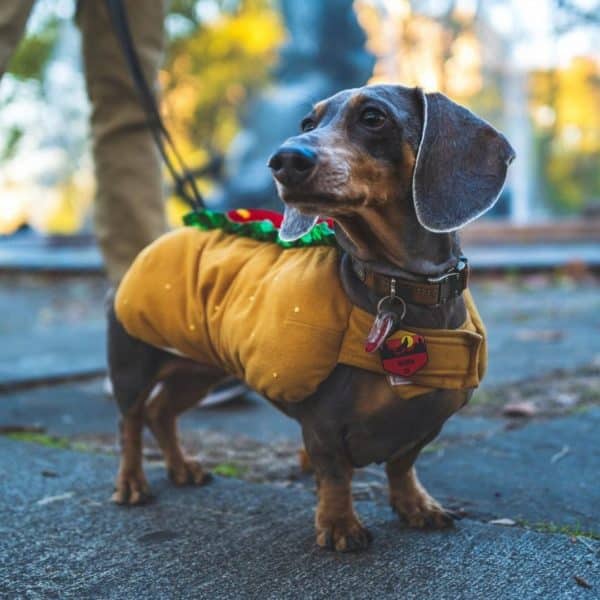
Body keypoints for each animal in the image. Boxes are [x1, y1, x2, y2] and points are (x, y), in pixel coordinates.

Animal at [108, 84, 516, 552]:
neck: (399, 289)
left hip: (198, 371)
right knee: (131, 422)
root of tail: (161, 240)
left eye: (373, 117)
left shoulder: (426, 421)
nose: (284, 160)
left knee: (162, 413)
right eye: (307, 123)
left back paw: (182, 468)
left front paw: (416, 505)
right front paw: (340, 526)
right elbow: (335, 473)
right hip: (133, 364)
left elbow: (402, 464)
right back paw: (131, 483)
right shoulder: (323, 422)